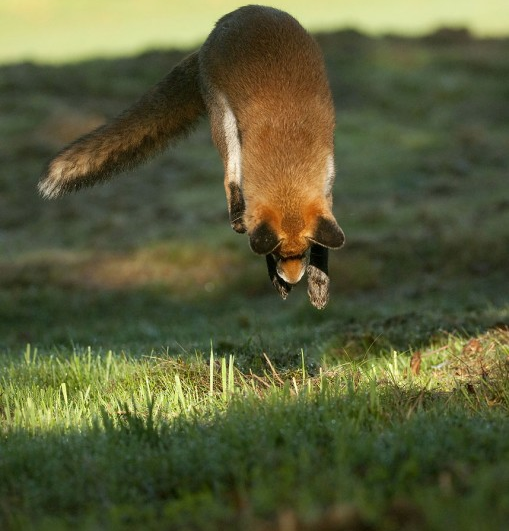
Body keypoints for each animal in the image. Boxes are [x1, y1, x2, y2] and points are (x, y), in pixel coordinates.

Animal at [38, 4, 346, 310]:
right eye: (278, 254)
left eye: (304, 252)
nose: (292, 279)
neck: (288, 156)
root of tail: (238, 12)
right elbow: (254, 226)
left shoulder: (326, 185)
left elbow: (326, 240)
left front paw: (319, 282)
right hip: (223, 120)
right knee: (228, 176)